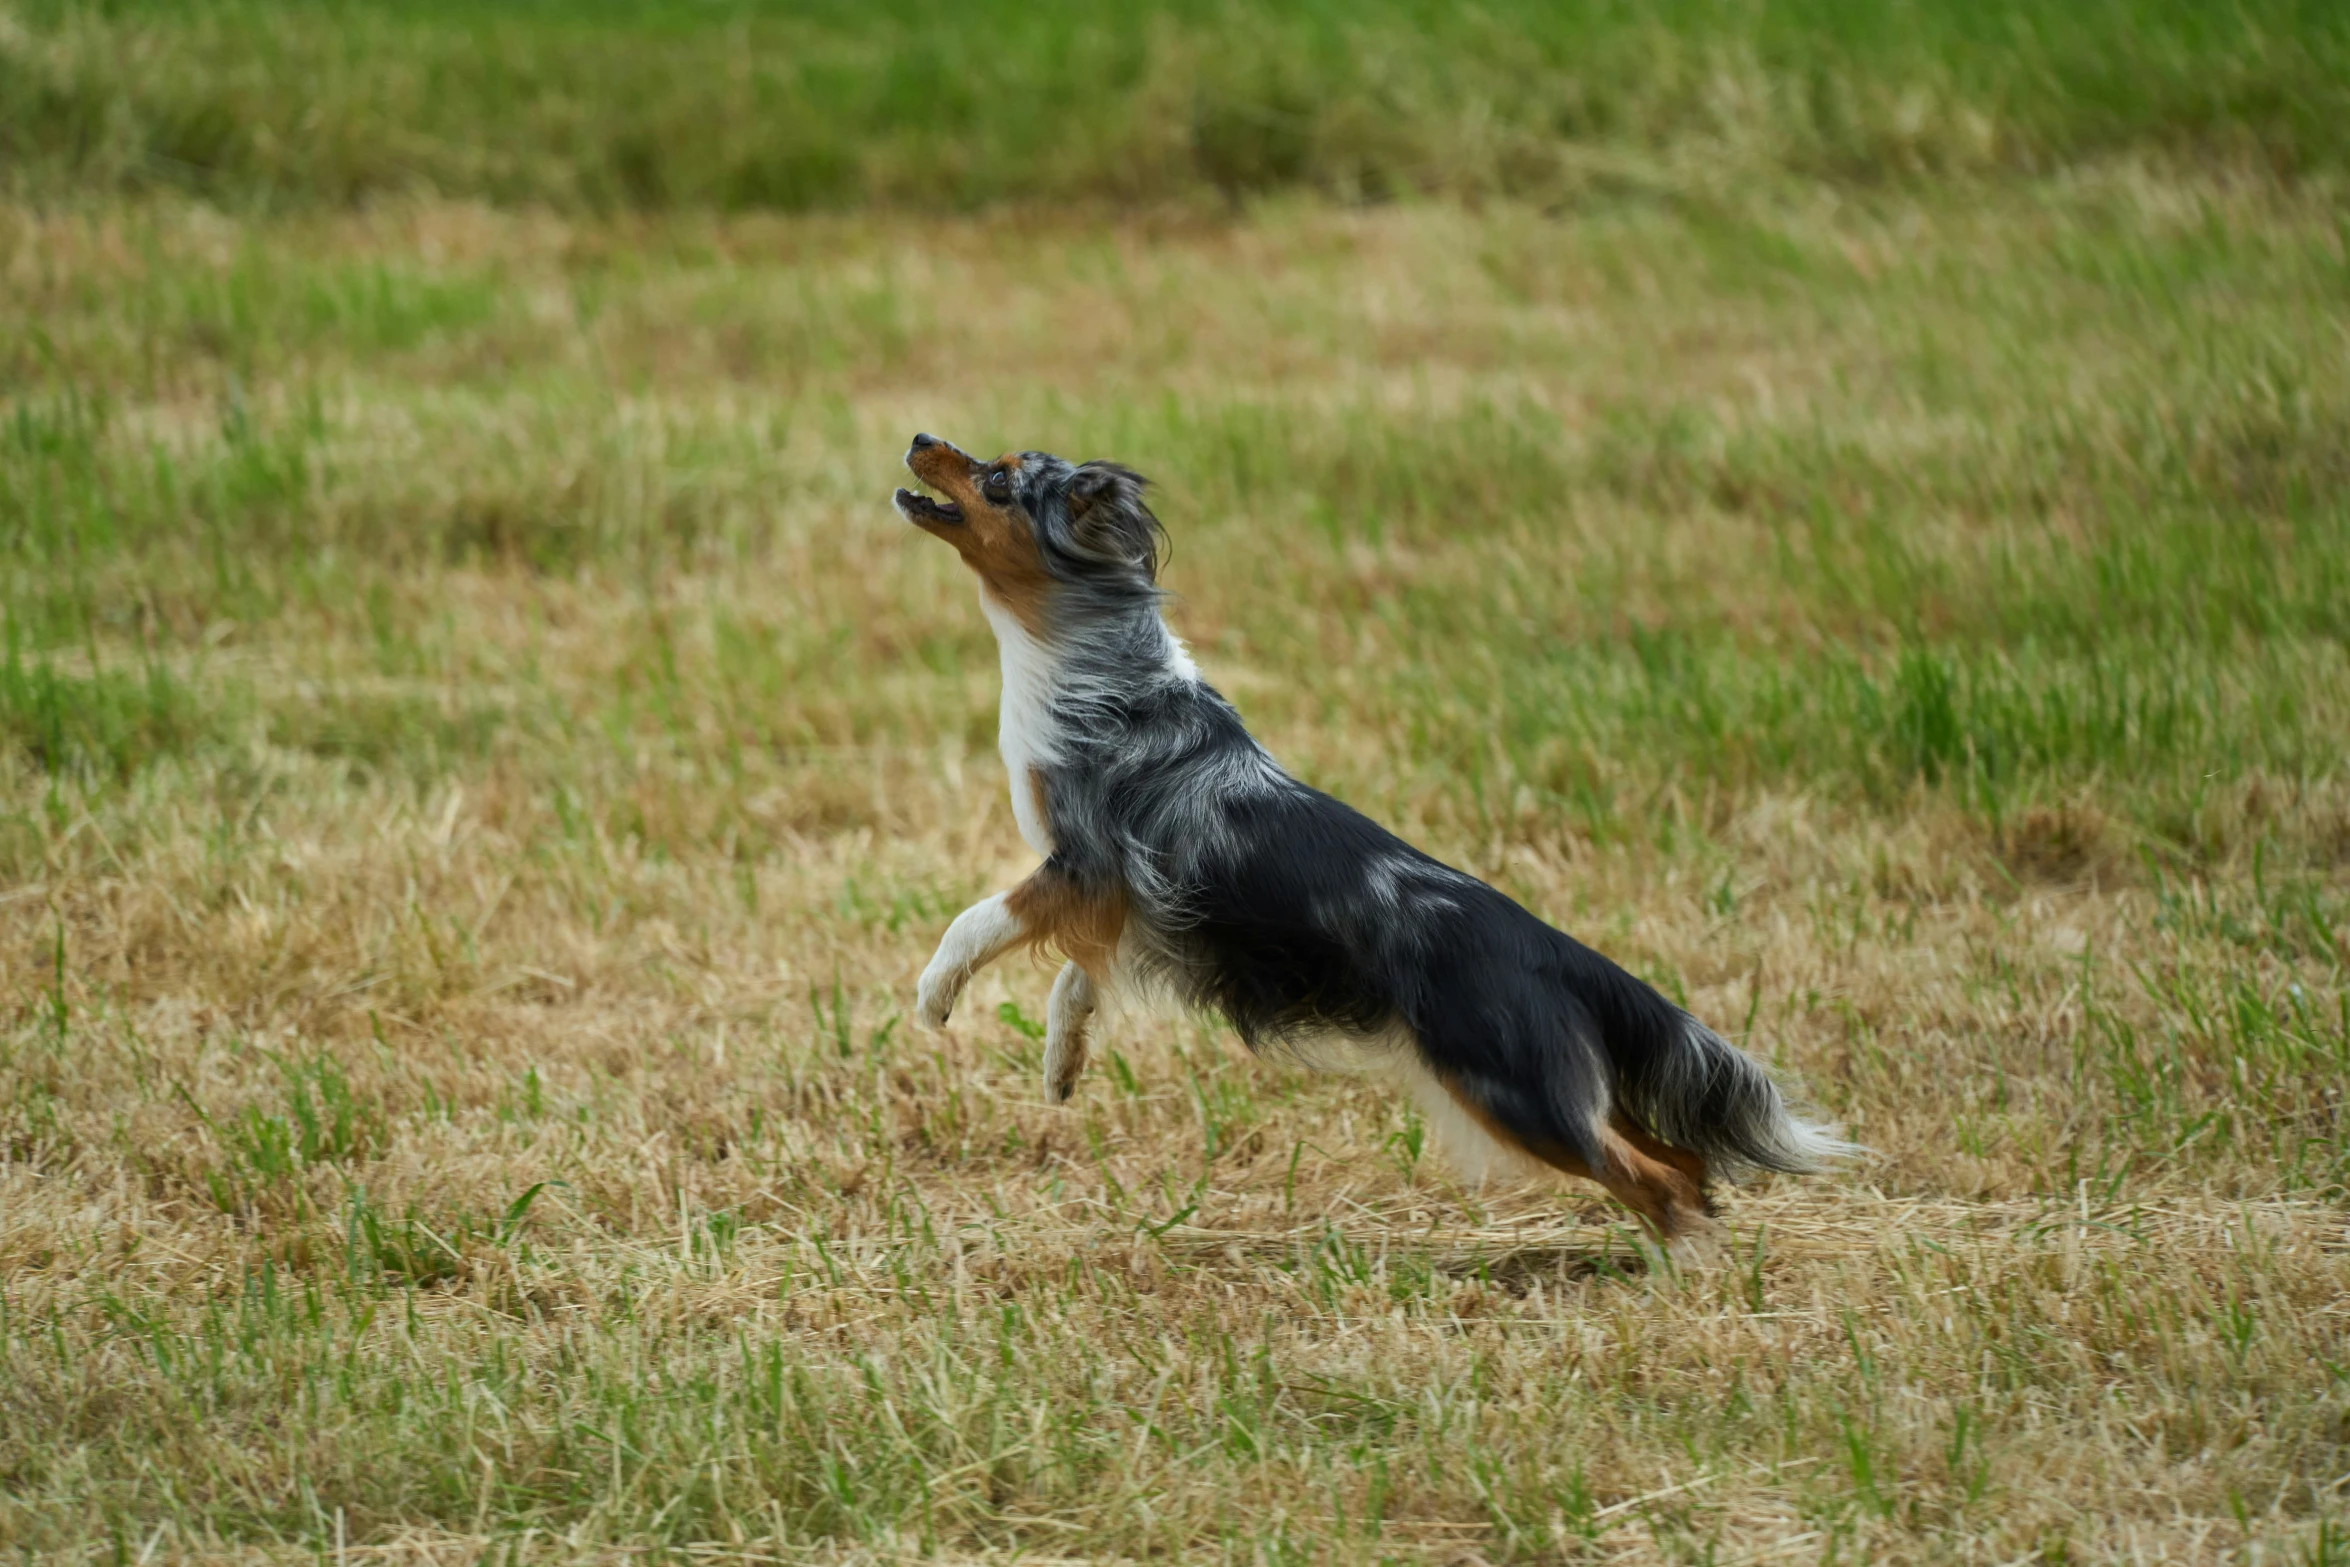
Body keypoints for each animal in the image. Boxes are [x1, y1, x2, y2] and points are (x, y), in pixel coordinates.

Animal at [888, 429, 1842, 1249]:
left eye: (1001, 478)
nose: (921, 438)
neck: (1096, 669)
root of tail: (1550, 949)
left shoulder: (1084, 865)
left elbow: (980, 920)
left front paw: (933, 997)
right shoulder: (1128, 904)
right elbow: (1076, 980)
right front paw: (1062, 1064)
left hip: (1515, 1093)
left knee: (1655, 1175)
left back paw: (1688, 1268)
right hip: (1570, 1092)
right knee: (1683, 1159)